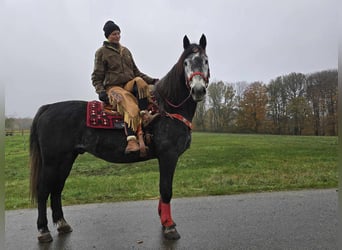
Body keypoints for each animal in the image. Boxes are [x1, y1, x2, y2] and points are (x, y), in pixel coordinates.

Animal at [30, 33, 208, 242]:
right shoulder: (168, 156)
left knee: (57, 188)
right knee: (43, 191)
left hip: (66, 159)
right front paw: (169, 226)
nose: (198, 90)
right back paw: (43, 230)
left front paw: (163, 220)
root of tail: (48, 108)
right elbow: (166, 190)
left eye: (205, 60)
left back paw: (62, 224)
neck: (167, 109)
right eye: (186, 63)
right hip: (52, 161)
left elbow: (162, 189)